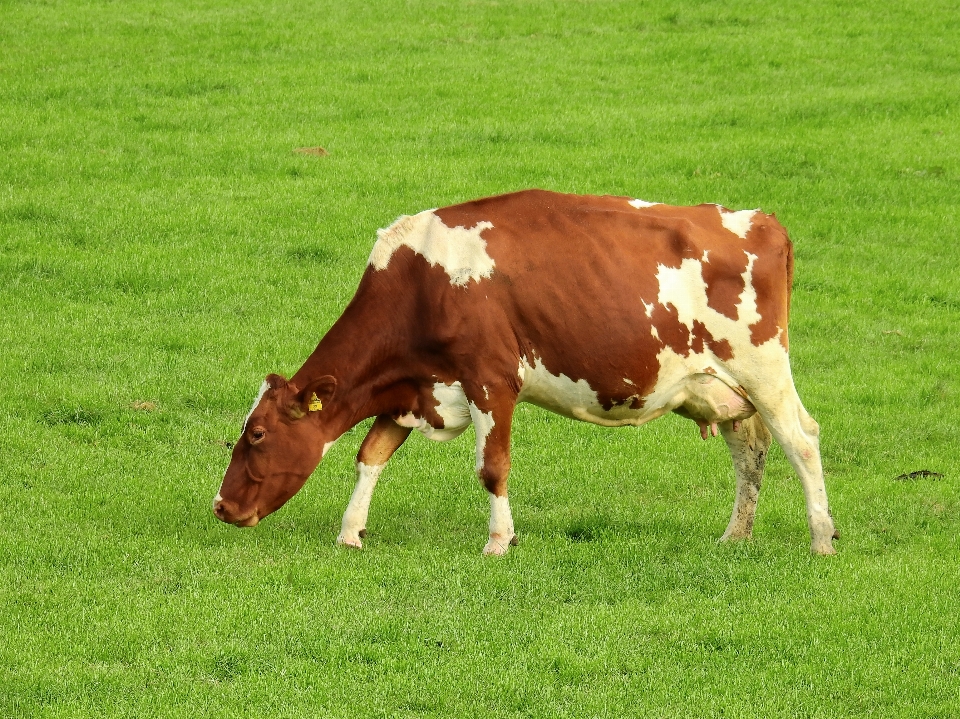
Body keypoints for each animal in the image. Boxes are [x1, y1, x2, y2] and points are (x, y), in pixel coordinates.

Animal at [212, 190, 840, 556]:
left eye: (258, 434)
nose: (222, 507)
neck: (421, 279)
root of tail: (762, 220)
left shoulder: (491, 381)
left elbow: (492, 468)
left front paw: (498, 541)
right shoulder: (415, 389)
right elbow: (371, 455)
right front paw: (350, 532)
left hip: (763, 369)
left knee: (801, 440)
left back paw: (821, 538)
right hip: (722, 390)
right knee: (750, 451)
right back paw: (735, 535)